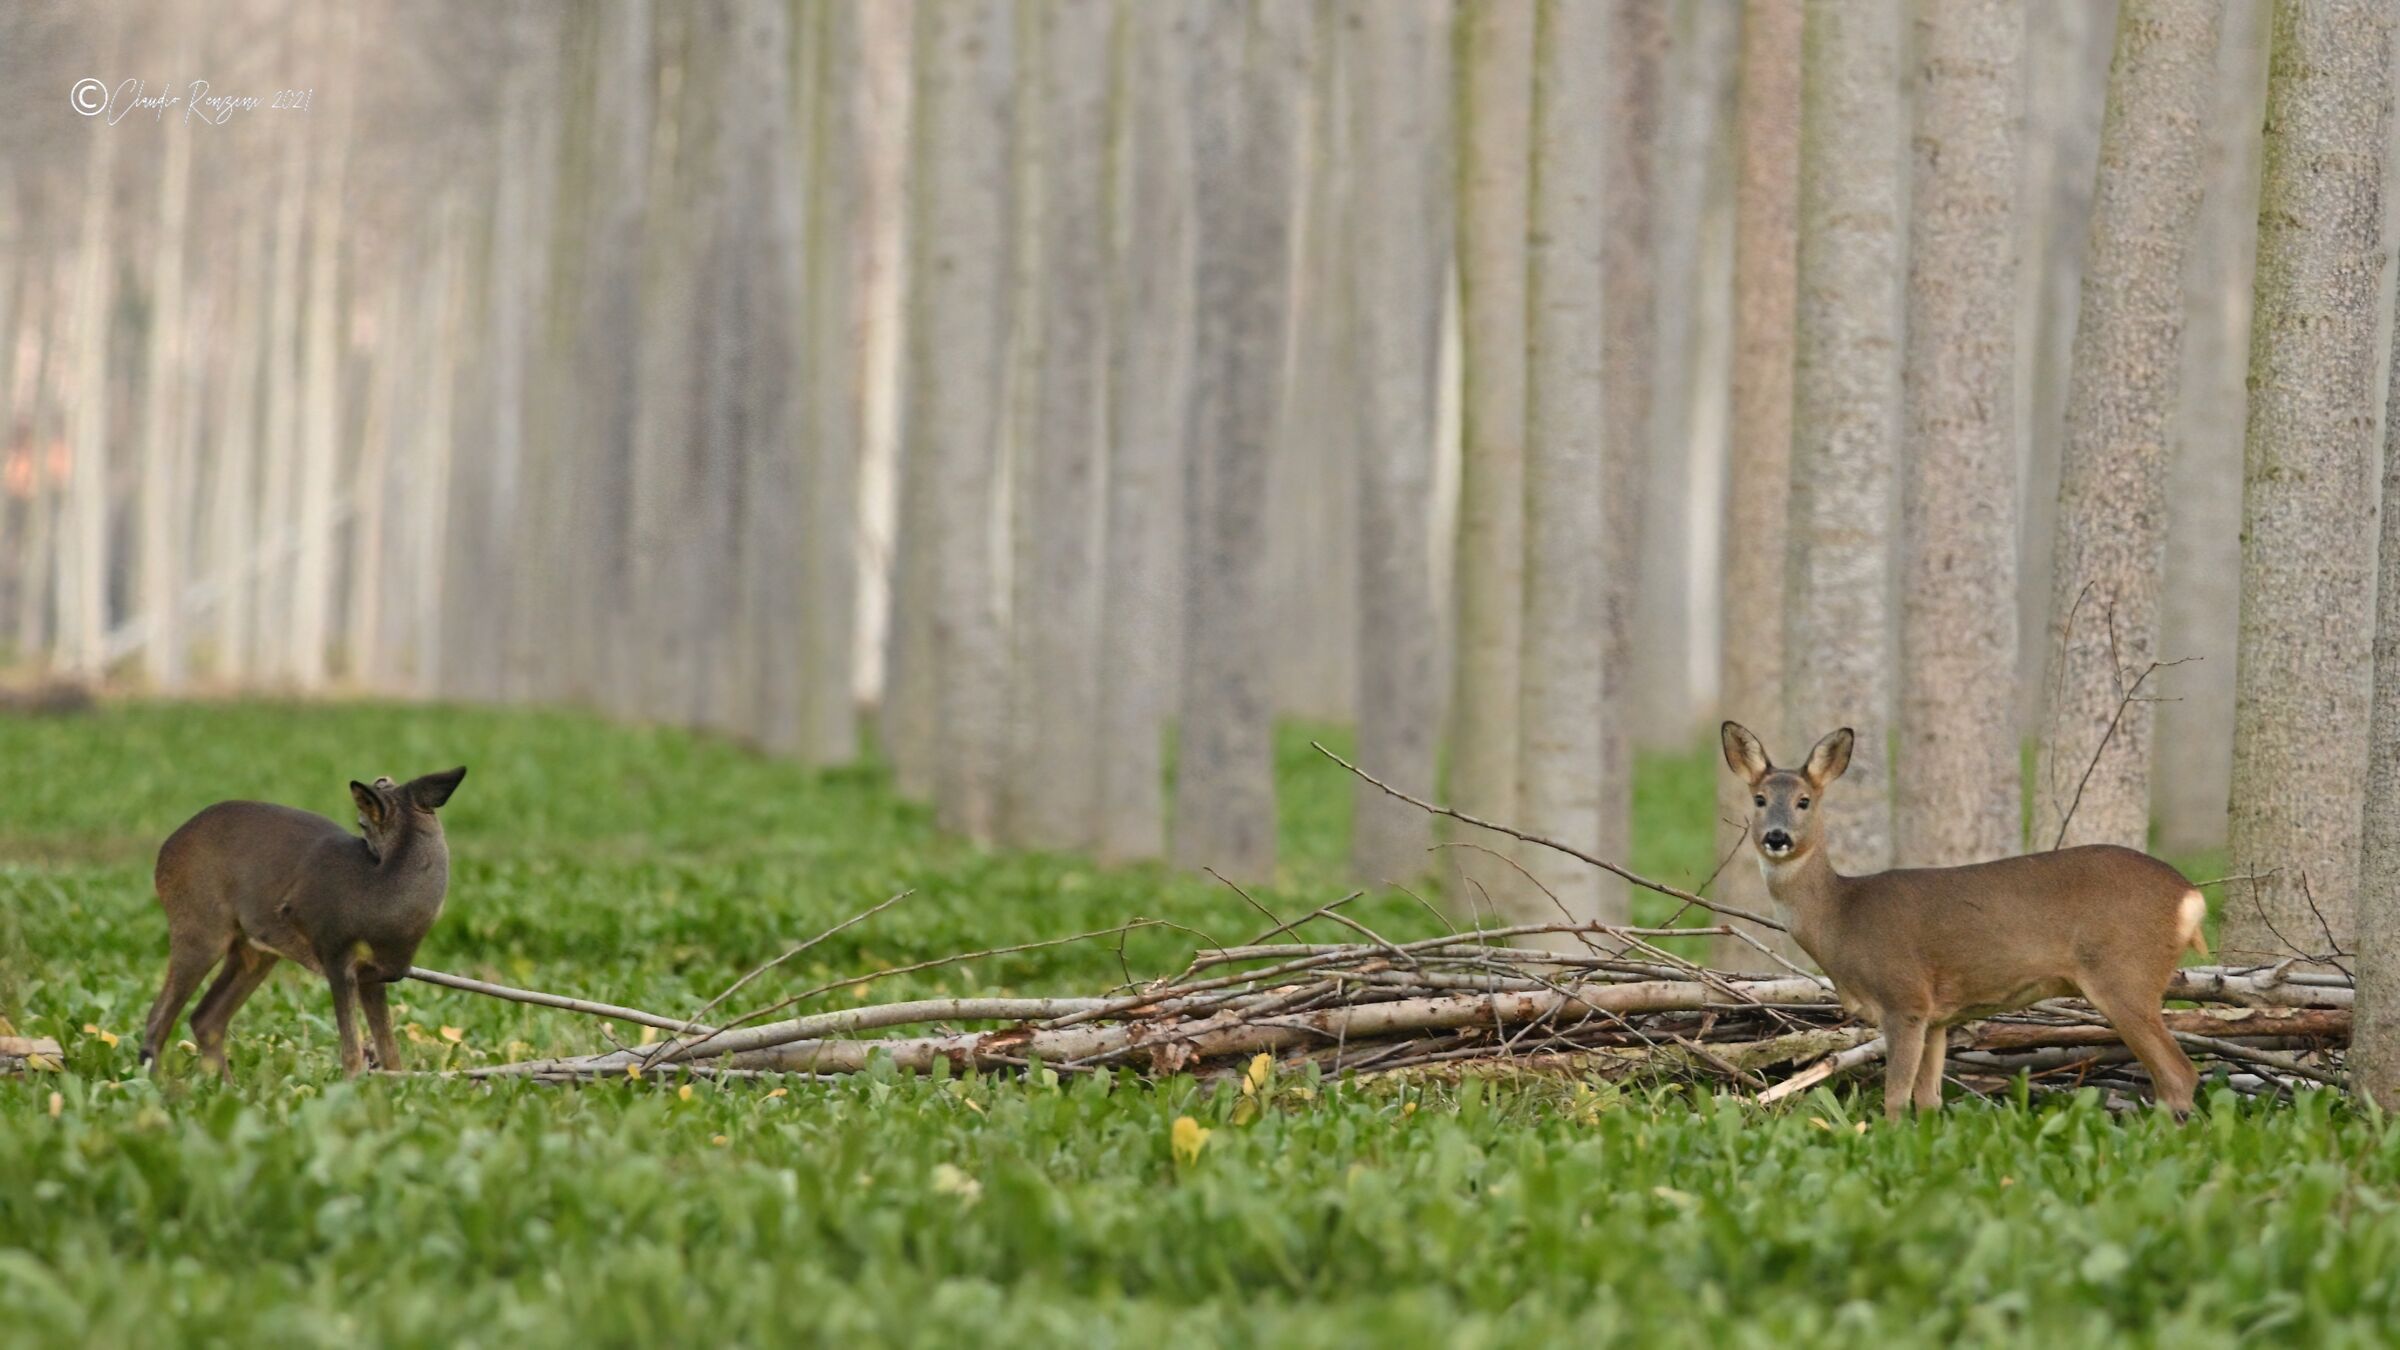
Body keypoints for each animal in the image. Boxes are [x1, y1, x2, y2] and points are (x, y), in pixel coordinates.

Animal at [138, 767, 467, 1078]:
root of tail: (164, 850)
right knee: (158, 1018)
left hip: (255, 949)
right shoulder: (334, 953)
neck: (380, 900)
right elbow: (351, 1053)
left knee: (205, 1018)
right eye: (361, 823)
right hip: (200, 925)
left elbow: (391, 1055)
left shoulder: (375, 975)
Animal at [1721, 723, 2205, 1121]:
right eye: (1759, 799)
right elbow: (1928, 1099)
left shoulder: (1905, 997)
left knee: (2180, 1074)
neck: (1841, 917)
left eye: (1804, 801)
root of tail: (2191, 896)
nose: (1777, 837)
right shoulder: (1939, 1015)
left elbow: (1895, 1097)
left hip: (2125, 973)